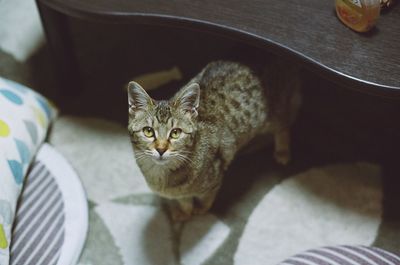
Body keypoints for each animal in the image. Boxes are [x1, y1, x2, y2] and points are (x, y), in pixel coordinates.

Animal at [127, 59, 300, 221]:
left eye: (175, 133)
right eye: (148, 131)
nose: (161, 149)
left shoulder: (214, 181)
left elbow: (206, 199)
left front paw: (201, 210)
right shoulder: (181, 194)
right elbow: (184, 201)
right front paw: (185, 212)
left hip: (273, 113)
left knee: (284, 124)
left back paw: (282, 151)